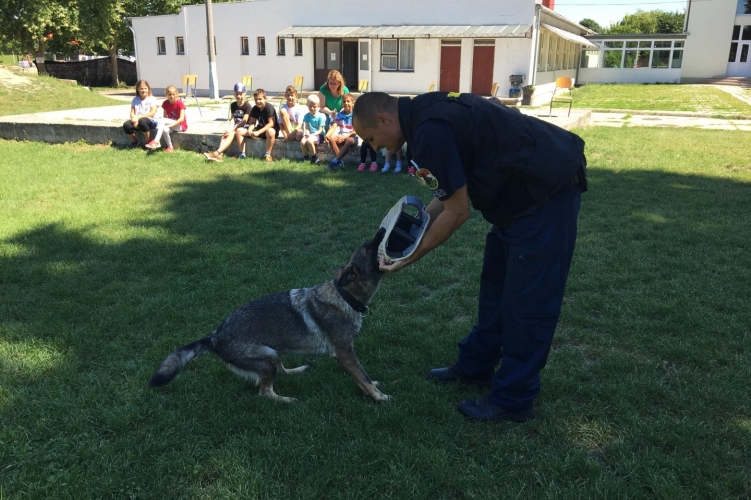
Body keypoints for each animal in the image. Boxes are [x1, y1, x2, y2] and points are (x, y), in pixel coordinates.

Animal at [148, 227, 390, 402]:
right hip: (268, 358)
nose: (382, 229)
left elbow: (365, 378)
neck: (344, 296)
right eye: (369, 247)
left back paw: (299, 370)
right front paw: (379, 397)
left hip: (274, 353)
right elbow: (363, 377)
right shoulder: (344, 353)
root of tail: (214, 336)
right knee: (264, 391)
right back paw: (287, 400)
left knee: (281, 373)